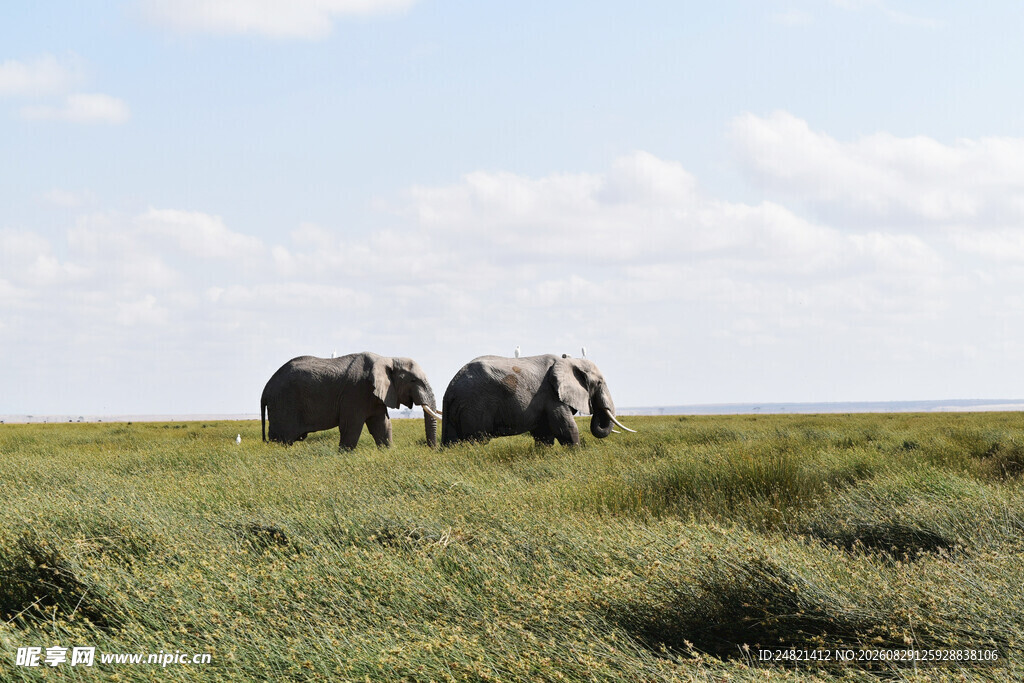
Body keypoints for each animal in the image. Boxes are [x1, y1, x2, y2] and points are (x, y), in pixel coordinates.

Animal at [261, 352, 442, 450]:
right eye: (413, 380)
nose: (432, 449)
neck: (388, 358)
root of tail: (266, 388)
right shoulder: (356, 392)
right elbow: (351, 426)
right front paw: (343, 454)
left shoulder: (376, 396)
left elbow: (382, 426)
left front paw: (388, 451)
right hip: (284, 404)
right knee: (282, 438)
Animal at [441, 354, 635, 446]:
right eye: (600, 383)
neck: (570, 361)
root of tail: (450, 388)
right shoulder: (551, 395)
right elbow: (566, 429)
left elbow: (544, 435)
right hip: (475, 407)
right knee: (476, 439)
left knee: (453, 442)